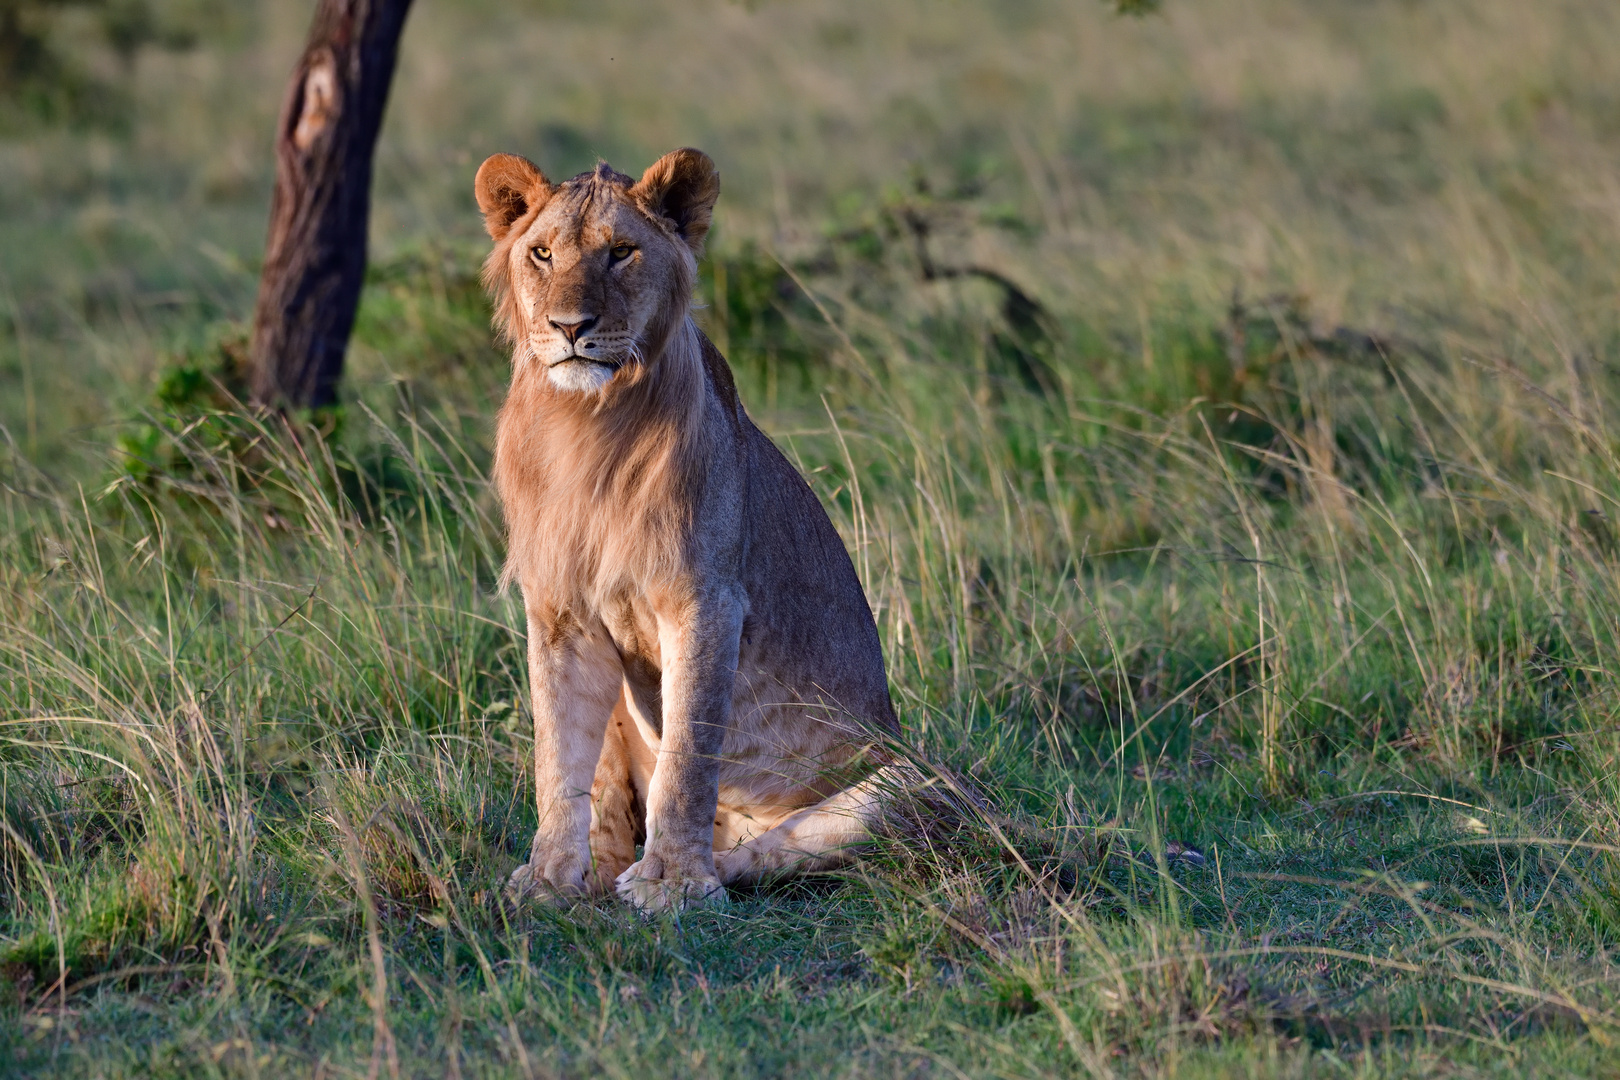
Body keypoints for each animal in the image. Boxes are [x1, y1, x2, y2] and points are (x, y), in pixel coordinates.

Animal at [473, 148, 907, 906]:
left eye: (621, 251)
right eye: (542, 253)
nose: (568, 326)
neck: (586, 425)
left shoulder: (706, 601)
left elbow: (687, 749)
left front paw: (673, 884)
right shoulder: (560, 612)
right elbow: (558, 755)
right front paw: (549, 879)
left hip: (914, 783)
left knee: (767, 852)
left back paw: (679, 874)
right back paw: (601, 876)